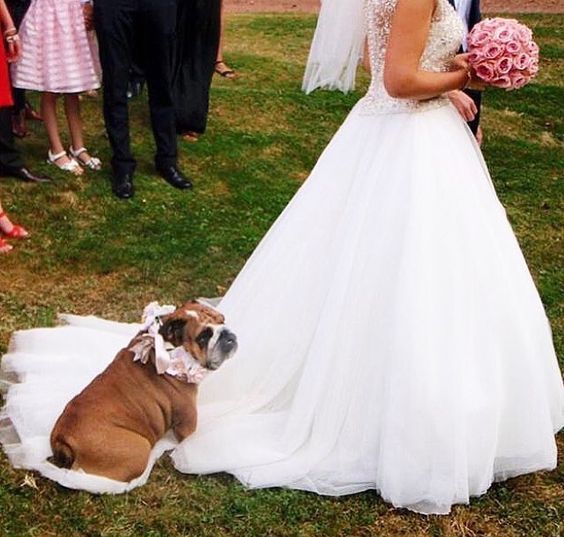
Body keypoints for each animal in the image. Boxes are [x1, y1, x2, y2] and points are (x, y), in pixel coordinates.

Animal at [48, 302, 238, 482]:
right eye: (203, 337)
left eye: (222, 320)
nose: (227, 334)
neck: (168, 351)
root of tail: (62, 438)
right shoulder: (187, 423)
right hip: (138, 449)